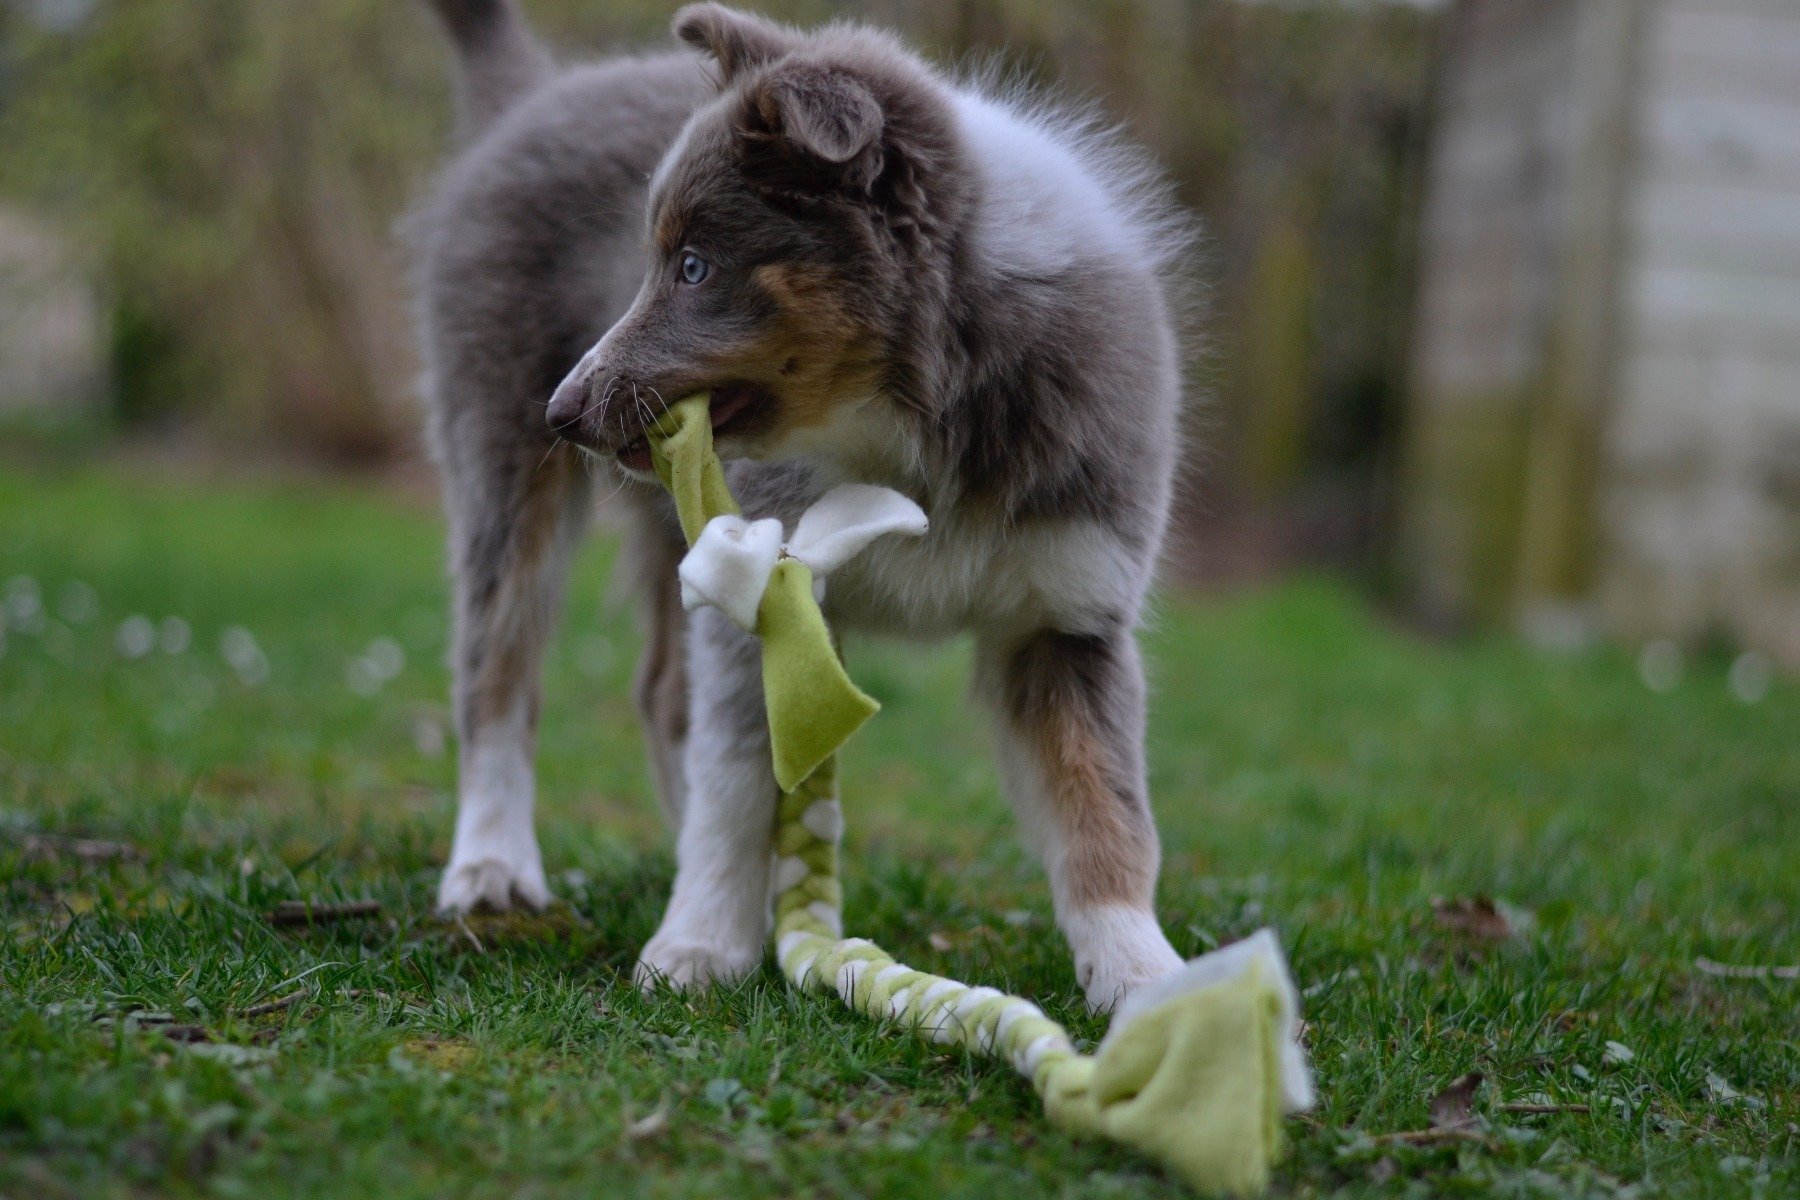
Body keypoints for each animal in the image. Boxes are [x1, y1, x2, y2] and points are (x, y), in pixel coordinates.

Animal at [415, 2, 1202, 1014]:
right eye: (655, 261)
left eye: (694, 266)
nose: (562, 412)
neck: (914, 422)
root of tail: (535, 94)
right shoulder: (760, 588)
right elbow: (735, 779)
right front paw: (699, 942)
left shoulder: (1070, 615)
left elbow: (1104, 805)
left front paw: (1144, 974)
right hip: (502, 467)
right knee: (497, 673)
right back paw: (492, 868)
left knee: (658, 694)